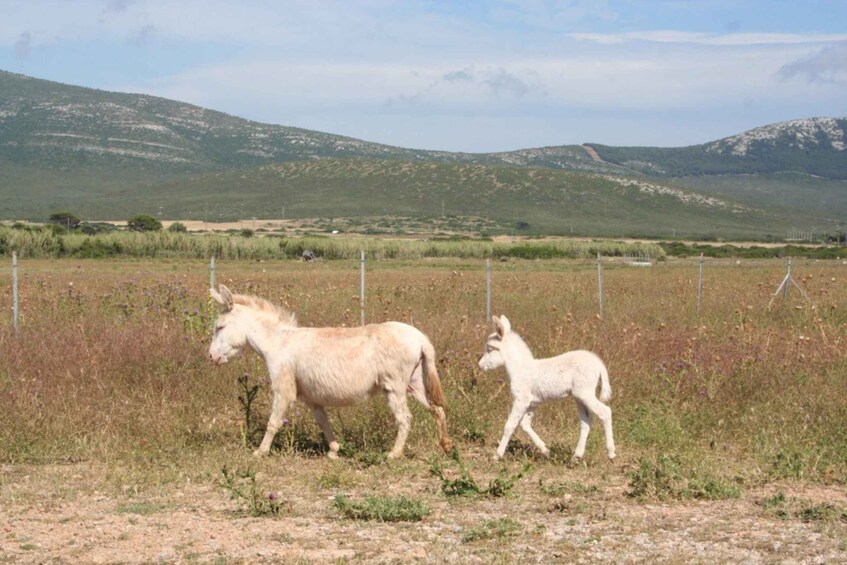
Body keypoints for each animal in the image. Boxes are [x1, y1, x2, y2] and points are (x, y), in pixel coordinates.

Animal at [480, 316, 612, 460]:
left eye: (490, 349)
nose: (480, 365)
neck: (520, 369)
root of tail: (598, 363)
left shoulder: (521, 400)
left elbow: (510, 425)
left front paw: (497, 455)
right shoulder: (532, 403)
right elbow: (525, 425)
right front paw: (545, 450)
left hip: (585, 393)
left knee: (605, 412)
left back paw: (611, 453)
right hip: (579, 397)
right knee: (586, 421)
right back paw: (576, 456)